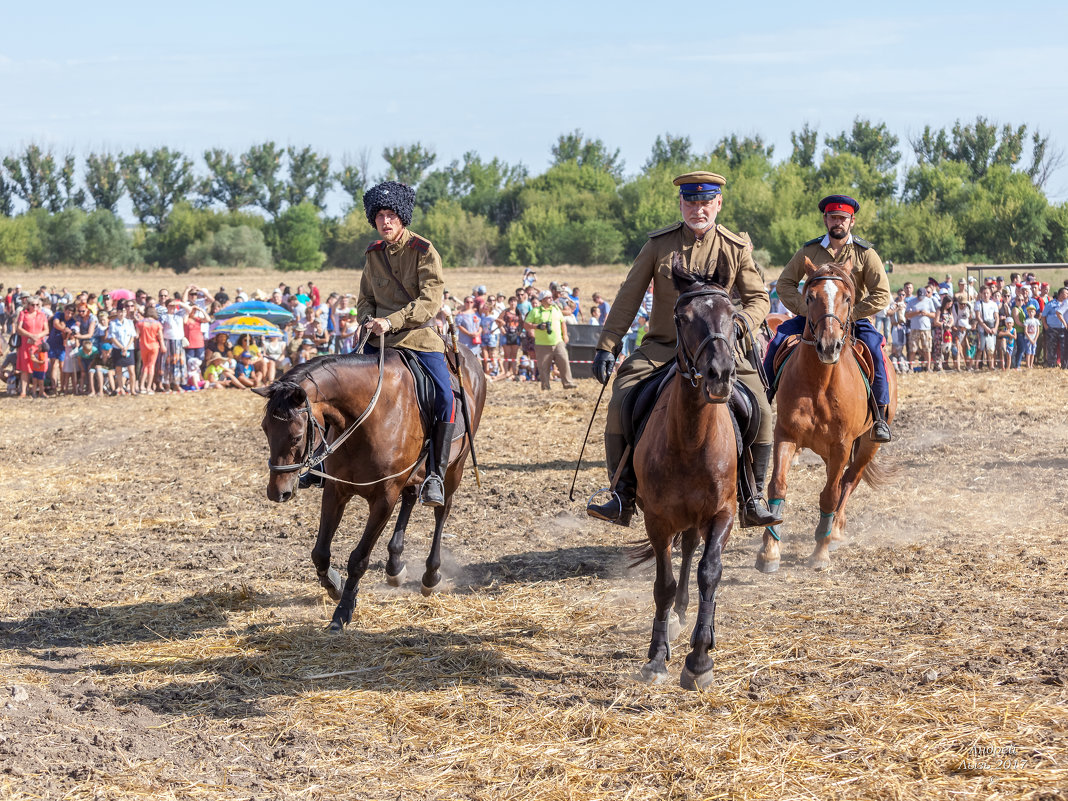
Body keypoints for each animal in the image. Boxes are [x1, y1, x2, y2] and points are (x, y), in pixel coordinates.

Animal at [252, 348, 487, 636]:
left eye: (296, 436)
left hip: (455, 469)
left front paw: (342, 612)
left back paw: (431, 575)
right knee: (410, 498)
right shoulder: (336, 490)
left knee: (441, 511)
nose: (277, 492)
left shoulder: (384, 498)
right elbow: (320, 553)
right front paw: (335, 585)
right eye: (265, 428)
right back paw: (394, 566)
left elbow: (359, 559)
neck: (370, 416)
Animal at [627, 260, 739, 692]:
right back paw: (675, 617)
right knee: (685, 552)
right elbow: (664, 584)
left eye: (733, 316)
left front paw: (700, 659)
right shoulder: (657, 519)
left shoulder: (724, 513)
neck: (692, 440)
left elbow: (710, 572)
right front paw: (657, 657)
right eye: (682, 318)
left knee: (694, 551)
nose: (719, 374)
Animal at [756, 260, 897, 572]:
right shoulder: (786, 436)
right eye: (810, 297)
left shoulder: (841, 445)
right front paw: (769, 551)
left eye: (847, 298)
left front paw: (820, 551)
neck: (820, 383)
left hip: (868, 445)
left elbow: (831, 493)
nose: (829, 346)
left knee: (849, 481)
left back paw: (834, 532)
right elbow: (778, 486)